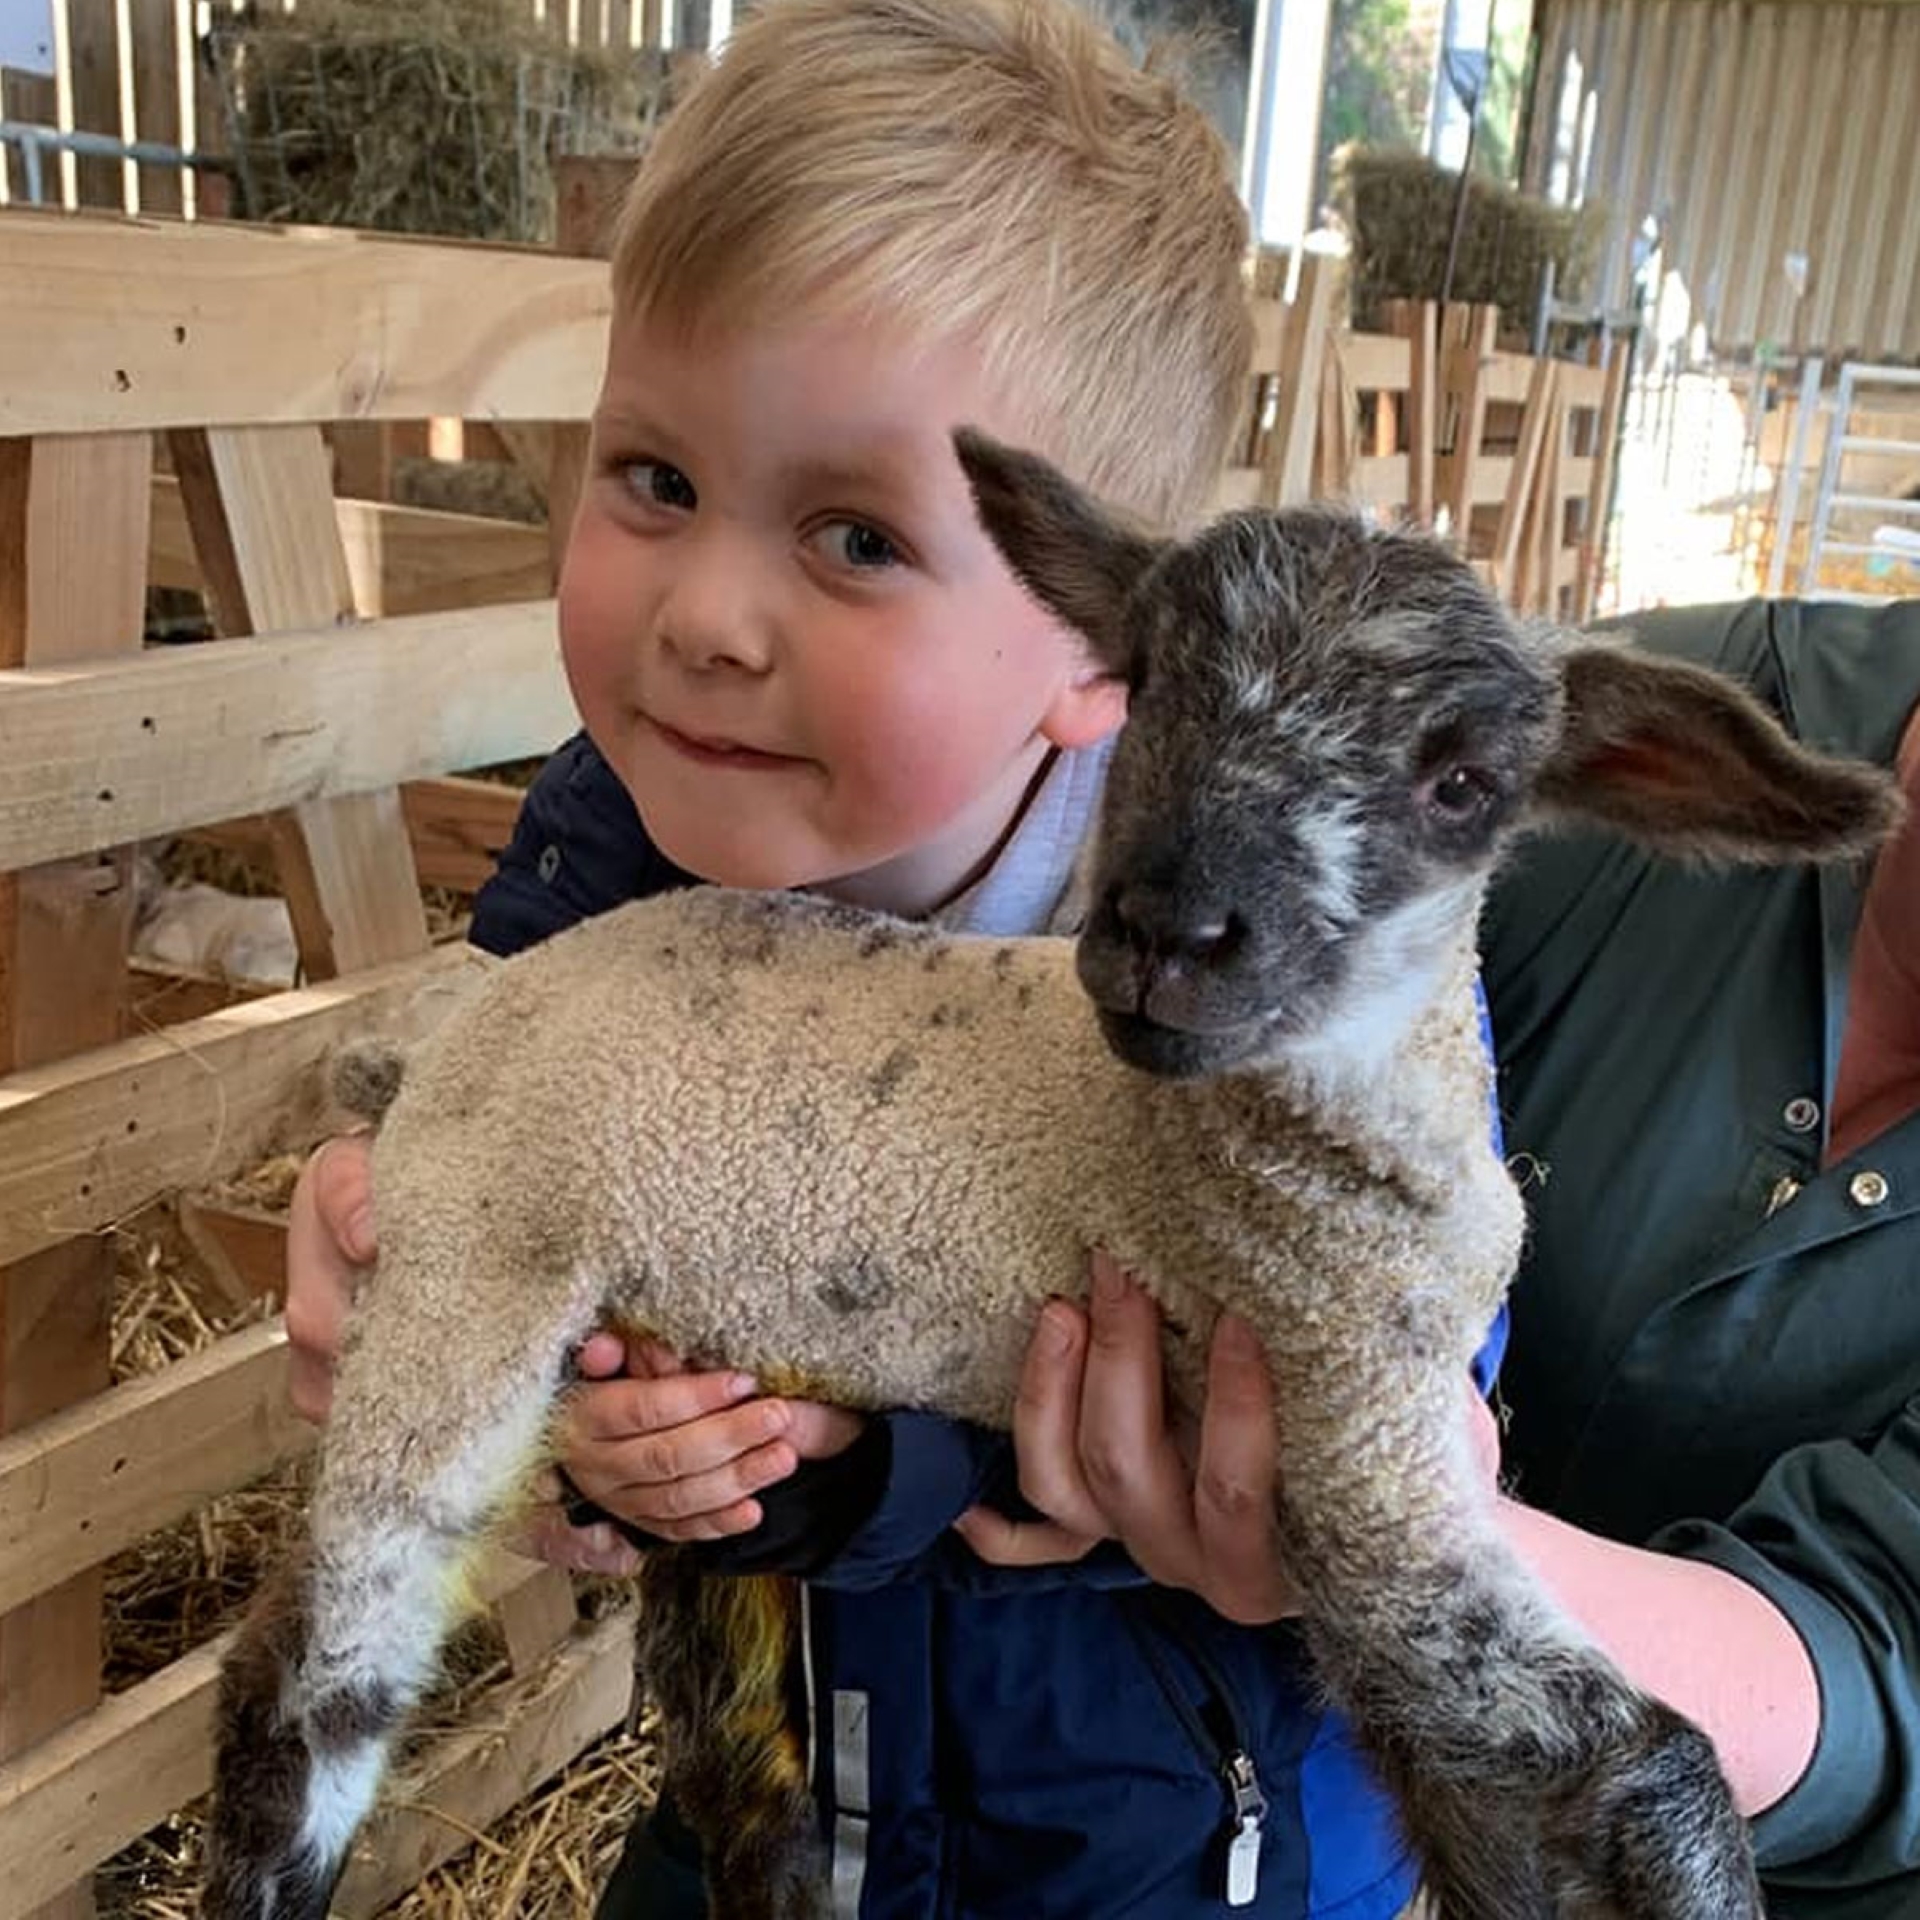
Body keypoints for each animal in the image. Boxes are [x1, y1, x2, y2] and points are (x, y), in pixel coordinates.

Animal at [200, 429, 1901, 1920]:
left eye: (1467, 782)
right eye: (1145, 684)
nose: (1168, 929)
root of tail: (445, 1030)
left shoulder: (1375, 1448)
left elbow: (1517, 1810)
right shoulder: (1347, 1432)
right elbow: (1651, 1767)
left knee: (748, 1772)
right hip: (472, 1265)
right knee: (309, 1680)